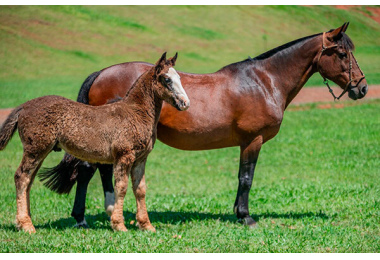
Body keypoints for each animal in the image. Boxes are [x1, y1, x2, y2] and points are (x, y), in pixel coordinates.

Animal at [0, 51, 189, 233]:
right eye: (166, 79)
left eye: (179, 78)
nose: (185, 103)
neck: (135, 113)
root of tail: (24, 106)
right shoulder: (124, 156)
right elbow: (121, 187)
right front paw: (119, 225)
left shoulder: (141, 159)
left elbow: (140, 189)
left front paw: (146, 226)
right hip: (35, 149)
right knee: (21, 177)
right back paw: (26, 225)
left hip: (40, 151)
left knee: (28, 180)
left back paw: (25, 221)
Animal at [38, 22, 366, 228]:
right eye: (341, 53)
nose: (361, 88)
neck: (264, 81)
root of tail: (101, 72)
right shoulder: (253, 140)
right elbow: (246, 178)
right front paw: (245, 217)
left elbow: (242, 178)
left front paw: (237, 213)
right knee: (87, 171)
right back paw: (83, 218)